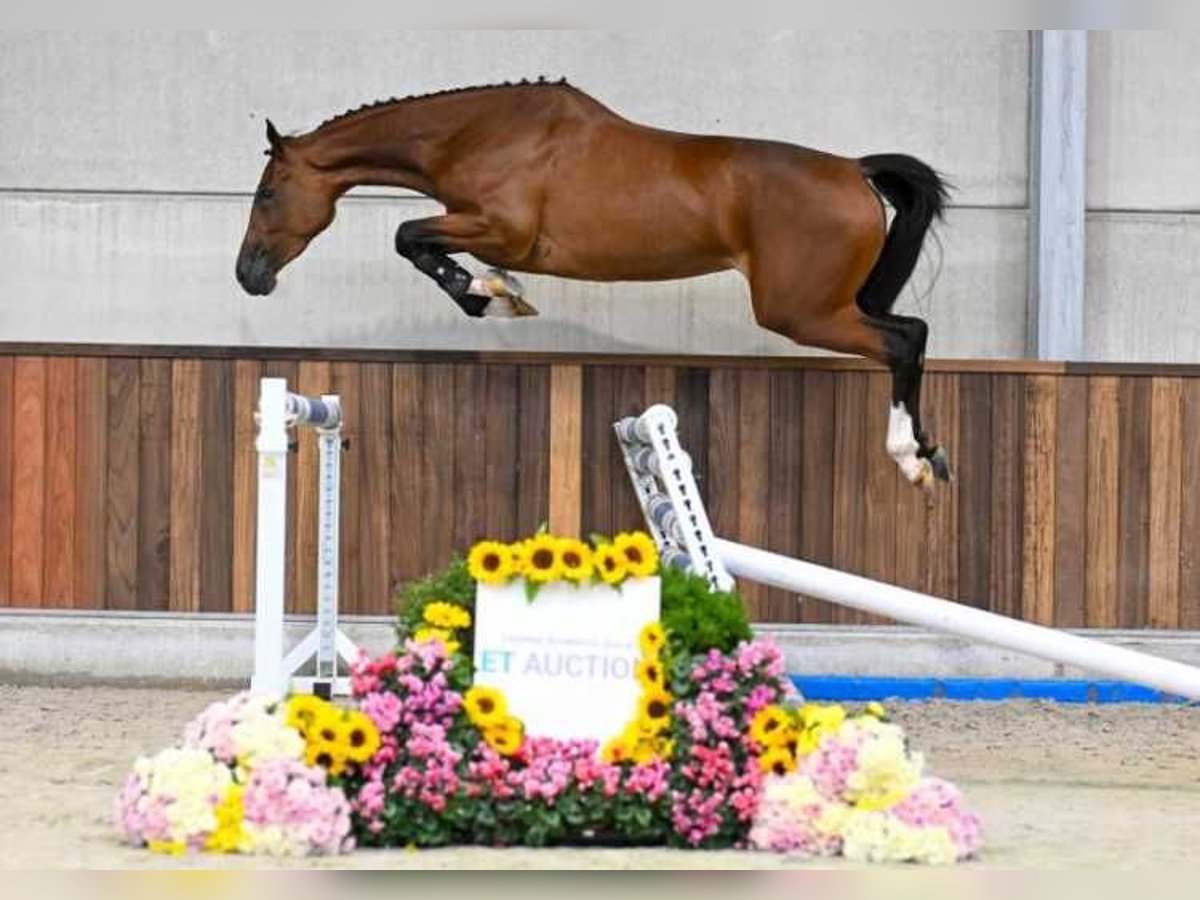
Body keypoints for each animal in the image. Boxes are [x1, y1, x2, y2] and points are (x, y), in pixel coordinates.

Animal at [231, 79, 945, 487]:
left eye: (267, 194)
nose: (248, 276)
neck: (480, 133)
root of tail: (854, 169)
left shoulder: (500, 229)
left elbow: (410, 237)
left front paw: (490, 297)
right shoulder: (483, 229)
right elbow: (423, 242)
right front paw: (498, 291)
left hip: (801, 312)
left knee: (905, 339)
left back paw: (910, 457)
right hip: (818, 308)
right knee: (910, 334)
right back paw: (932, 454)